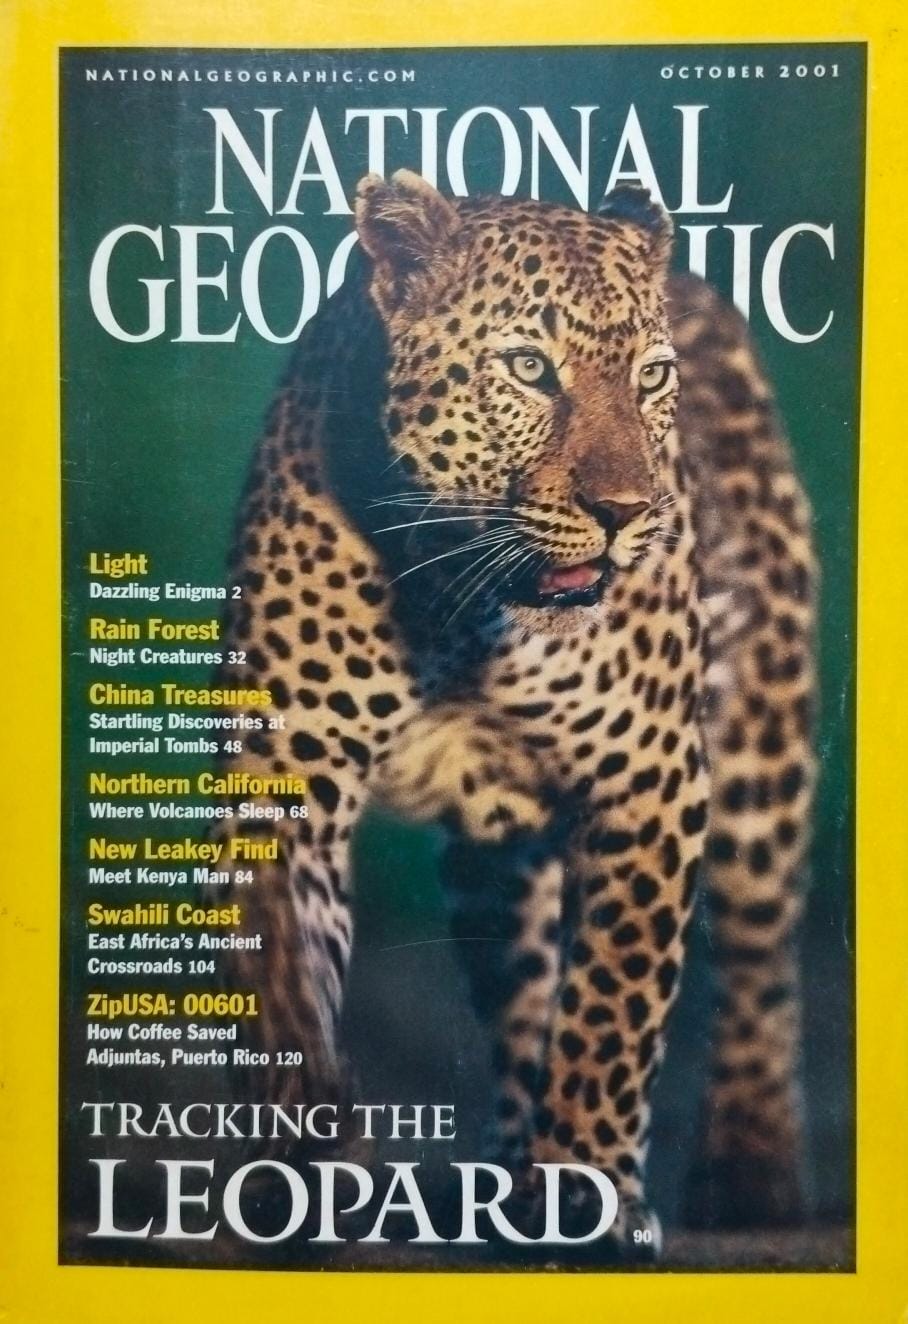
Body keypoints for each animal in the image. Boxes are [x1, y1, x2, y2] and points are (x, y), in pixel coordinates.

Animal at [213, 169, 816, 1261]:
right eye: (530, 369)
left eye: (650, 378)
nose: (627, 511)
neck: (460, 594)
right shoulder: (280, 774)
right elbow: (278, 976)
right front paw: (307, 1163)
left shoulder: (652, 779)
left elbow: (615, 1002)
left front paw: (588, 1192)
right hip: (496, 860)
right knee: (524, 995)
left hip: (761, 749)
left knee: (758, 960)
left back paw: (751, 1170)